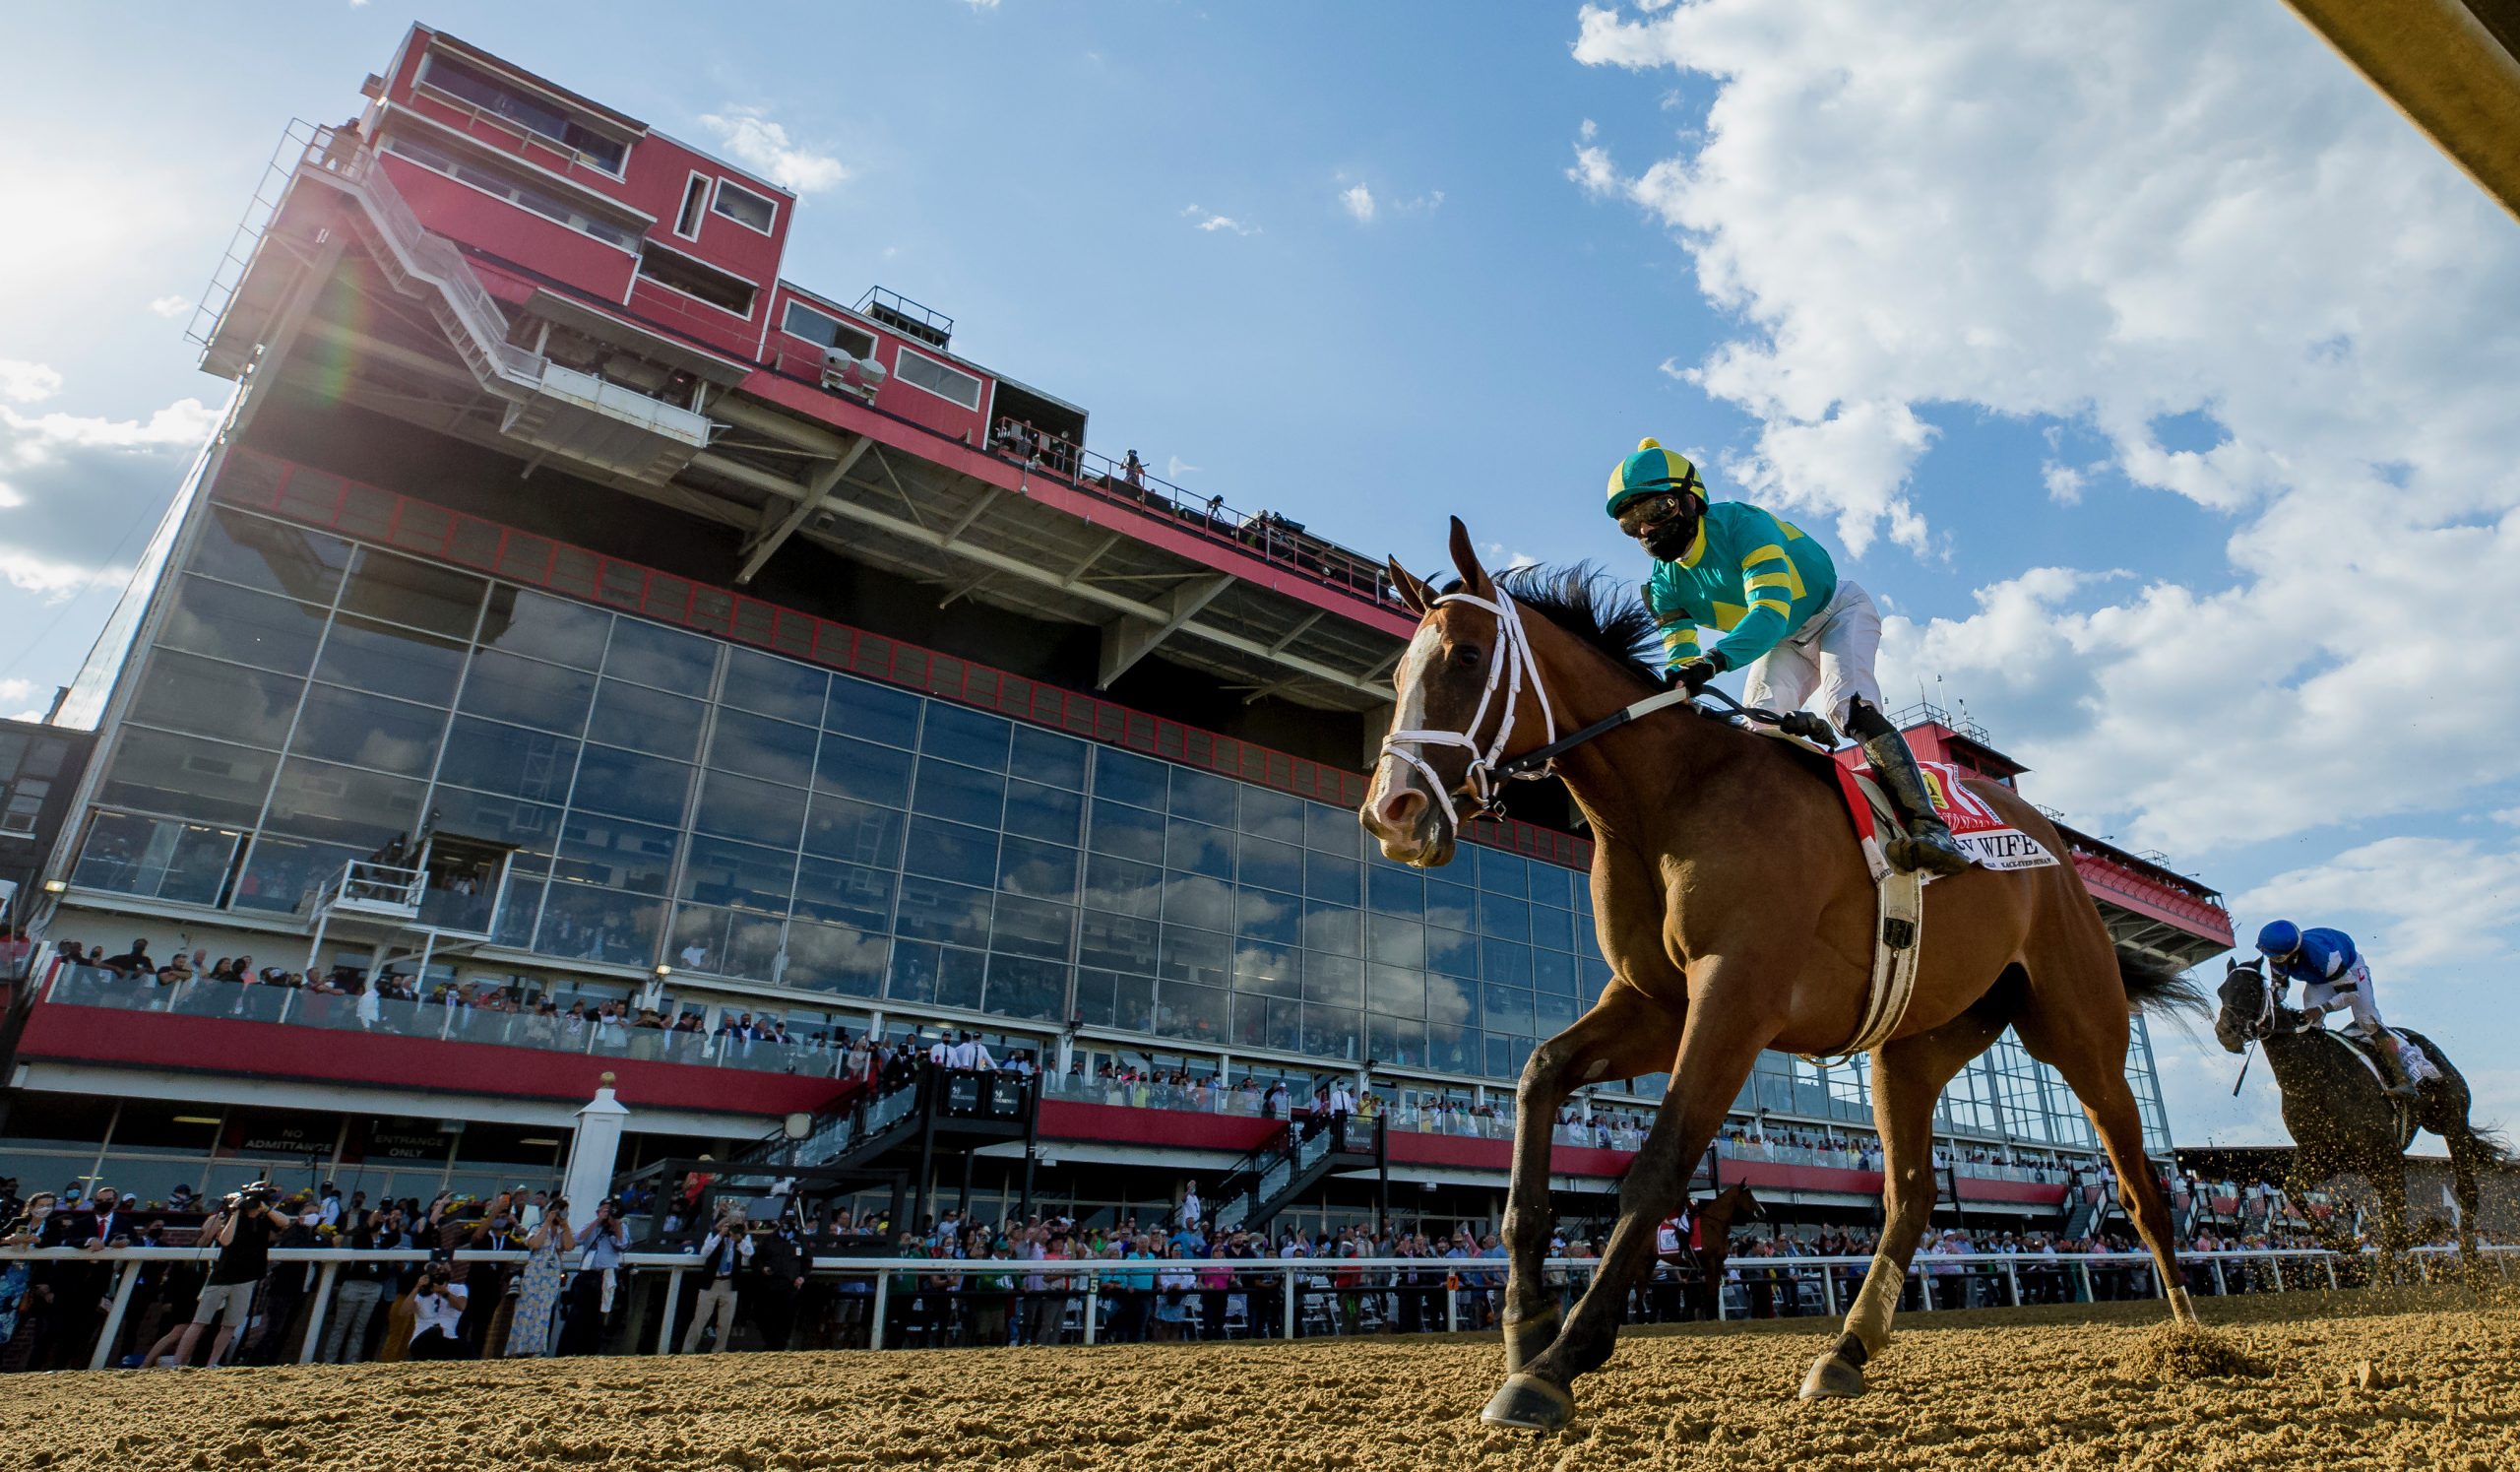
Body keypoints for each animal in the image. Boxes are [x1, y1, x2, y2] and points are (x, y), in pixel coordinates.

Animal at [1360, 519, 2207, 1421]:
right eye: (1400, 671)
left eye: (1467, 656)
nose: (1391, 812)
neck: (1669, 796)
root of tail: (2054, 853)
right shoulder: (1656, 1000)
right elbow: (1538, 1074)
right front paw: (1527, 1321)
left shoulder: (1737, 992)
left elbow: (1658, 1164)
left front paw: (1557, 1360)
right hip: (1915, 1045)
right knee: (1910, 1195)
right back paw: (1845, 1351)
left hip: (2080, 1034)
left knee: (2141, 1189)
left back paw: (2192, 1340)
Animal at [2207, 957, 2499, 1280]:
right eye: (2221, 991)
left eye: (2251, 989)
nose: (2225, 1032)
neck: (2314, 1076)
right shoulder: (2325, 1156)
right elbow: (2292, 1190)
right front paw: (2347, 1242)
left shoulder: (2387, 1153)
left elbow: (2395, 1224)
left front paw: (2429, 1229)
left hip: (2450, 1122)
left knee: (2466, 1191)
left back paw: (2472, 1267)